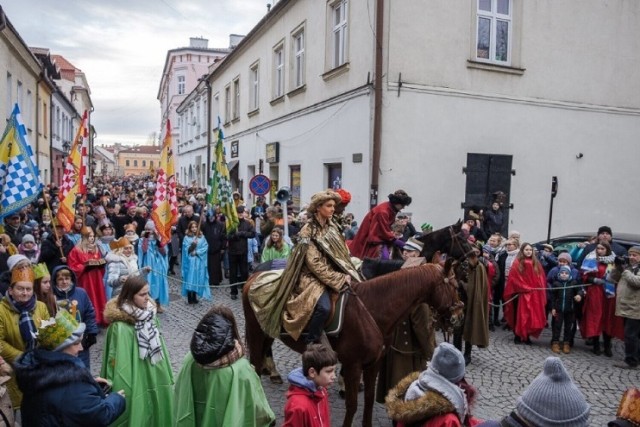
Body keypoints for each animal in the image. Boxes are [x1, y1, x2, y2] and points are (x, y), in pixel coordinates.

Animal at [242, 260, 462, 424]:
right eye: (454, 286)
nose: (458, 316)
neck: (373, 309)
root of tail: (252, 278)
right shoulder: (353, 365)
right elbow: (352, 403)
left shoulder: (374, 363)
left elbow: (369, 400)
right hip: (255, 333)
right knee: (254, 367)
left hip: (268, 332)